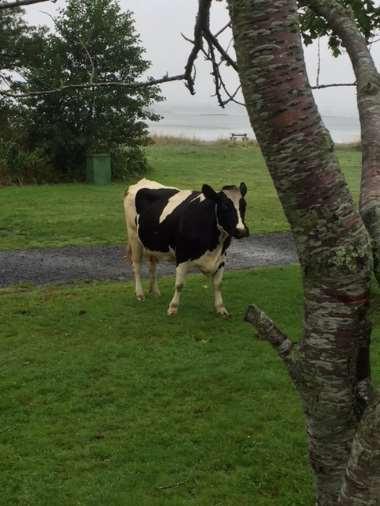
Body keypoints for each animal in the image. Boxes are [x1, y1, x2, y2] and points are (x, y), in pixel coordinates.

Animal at [124, 179, 249, 316]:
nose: (241, 231)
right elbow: (179, 284)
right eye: (225, 206)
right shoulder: (182, 256)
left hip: (152, 243)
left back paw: (155, 291)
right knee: (136, 266)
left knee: (152, 265)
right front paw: (173, 307)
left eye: (244, 205)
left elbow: (218, 284)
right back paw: (140, 293)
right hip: (133, 236)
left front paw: (221, 308)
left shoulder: (221, 258)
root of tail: (142, 181)